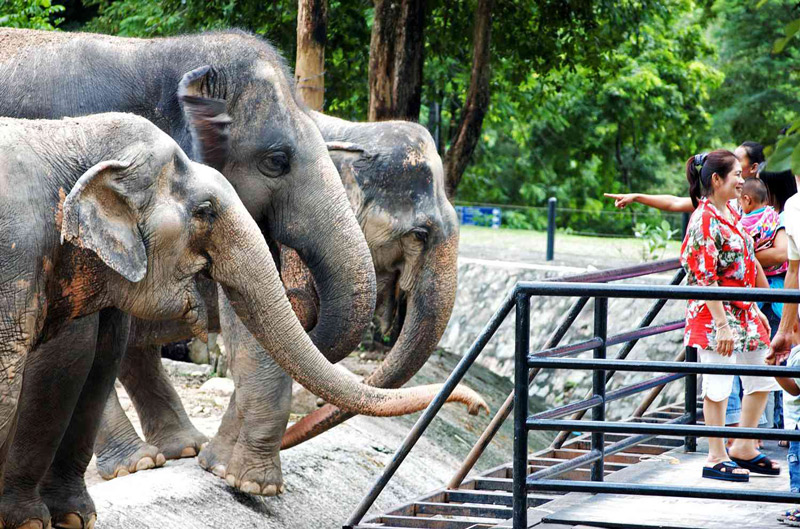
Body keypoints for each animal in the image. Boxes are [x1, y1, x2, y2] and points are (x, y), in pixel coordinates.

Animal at [0, 111, 488, 528]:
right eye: (420, 234)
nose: (479, 407)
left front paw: (218, 466)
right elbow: (268, 332)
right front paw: (252, 483)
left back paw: (181, 450)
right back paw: (140, 464)